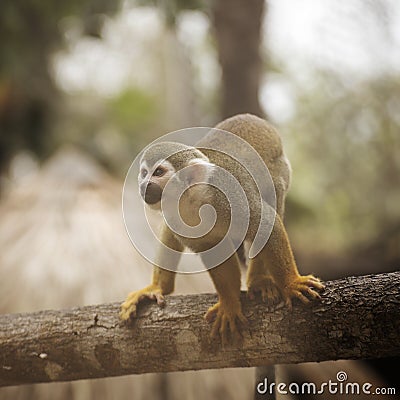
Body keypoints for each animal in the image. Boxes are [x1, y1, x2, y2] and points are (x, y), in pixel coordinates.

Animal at [120, 114, 324, 342]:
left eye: (158, 172)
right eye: (144, 173)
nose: (143, 185)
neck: (192, 200)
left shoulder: (229, 194)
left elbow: (266, 223)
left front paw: (291, 283)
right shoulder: (174, 216)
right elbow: (213, 250)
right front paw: (229, 304)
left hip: (280, 168)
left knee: (273, 197)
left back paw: (258, 280)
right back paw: (159, 287)